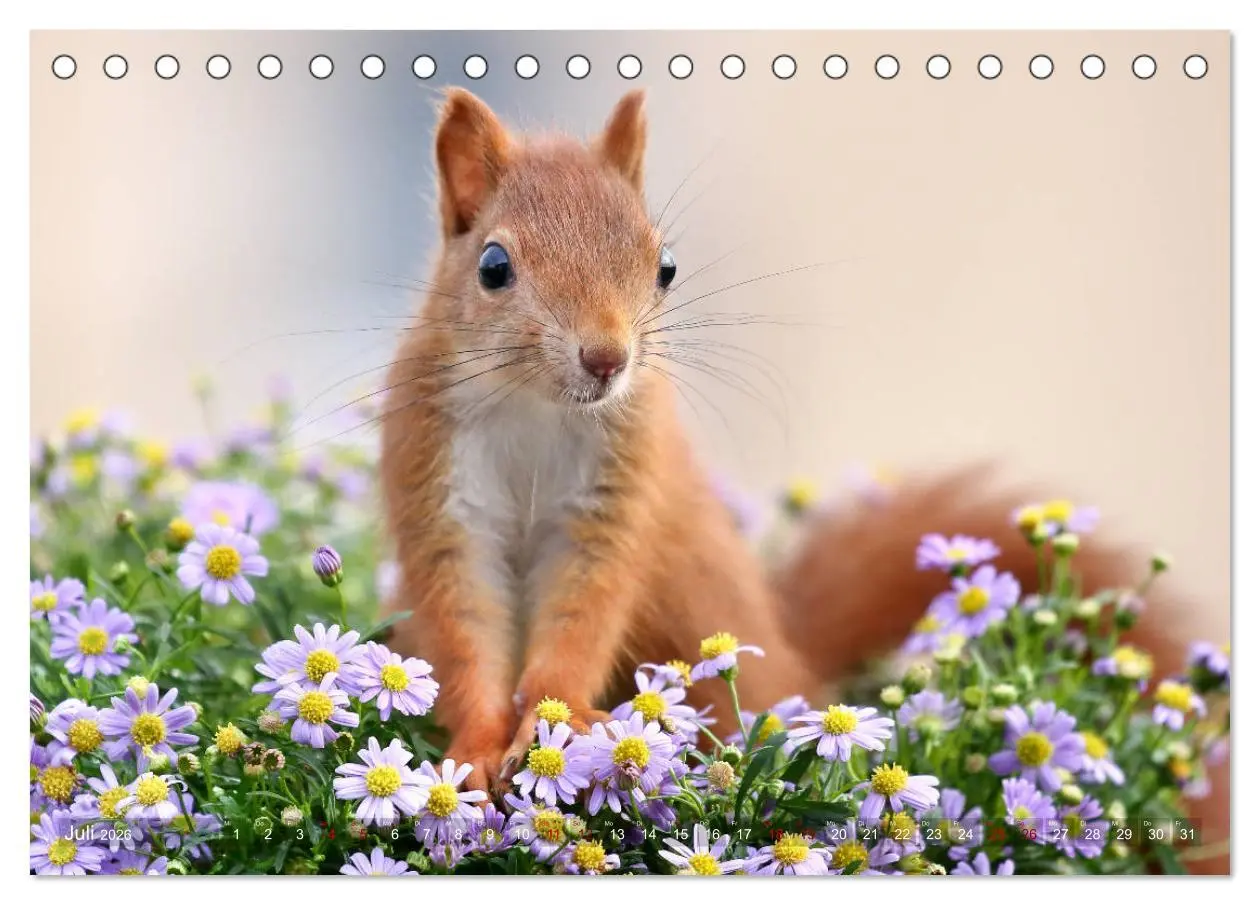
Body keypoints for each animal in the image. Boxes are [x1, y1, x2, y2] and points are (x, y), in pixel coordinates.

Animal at [379, 89, 1227, 871]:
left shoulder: (616, 497)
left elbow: (584, 616)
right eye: (494, 267)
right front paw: (476, 748)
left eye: (665, 265)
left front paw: (560, 721)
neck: (536, 406)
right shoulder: (438, 489)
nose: (606, 358)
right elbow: (463, 632)